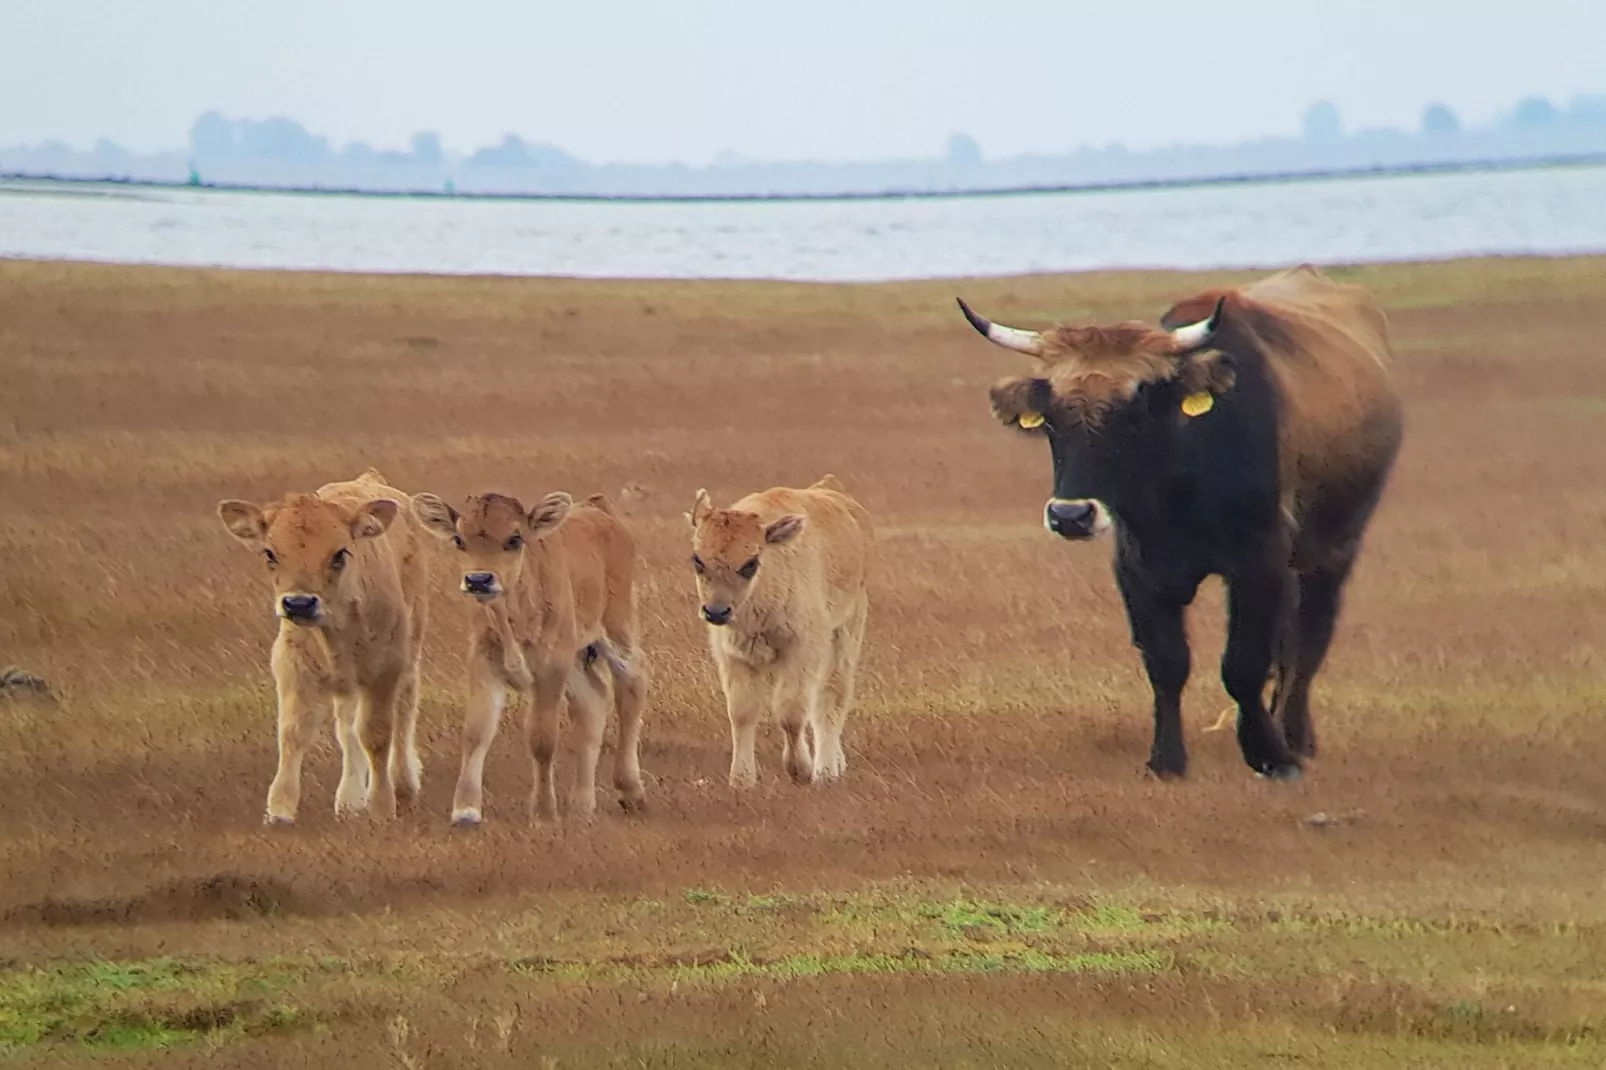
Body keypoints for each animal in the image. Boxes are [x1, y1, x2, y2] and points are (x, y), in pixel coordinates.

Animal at [220, 465, 436, 822]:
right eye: (270, 553)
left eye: (339, 554)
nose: (299, 603)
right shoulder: (294, 667)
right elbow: (294, 731)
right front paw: (279, 811)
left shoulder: (384, 671)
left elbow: (376, 734)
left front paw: (382, 807)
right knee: (347, 727)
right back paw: (349, 799)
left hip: (410, 649)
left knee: (404, 712)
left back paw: (404, 784)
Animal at [407, 488, 645, 819]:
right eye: (459, 539)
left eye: (514, 539)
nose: (478, 580)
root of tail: (599, 510)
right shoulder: (484, 662)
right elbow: (476, 732)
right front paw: (465, 810)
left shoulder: (551, 667)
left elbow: (542, 739)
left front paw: (543, 813)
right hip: (578, 659)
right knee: (592, 702)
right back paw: (582, 804)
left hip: (618, 631)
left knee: (630, 691)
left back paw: (631, 790)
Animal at [684, 472, 873, 784]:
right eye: (697, 560)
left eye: (750, 563)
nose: (716, 611)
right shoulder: (732, 654)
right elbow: (742, 712)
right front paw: (742, 779)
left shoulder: (801, 649)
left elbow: (790, 712)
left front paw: (800, 770)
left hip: (846, 632)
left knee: (831, 696)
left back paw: (826, 770)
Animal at [957, 265, 1400, 784]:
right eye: (1050, 419)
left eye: (1133, 411)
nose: (1070, 515)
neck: (1184, 475)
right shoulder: (1138, 570)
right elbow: (1167, 663)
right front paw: (1166, 760)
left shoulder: (1259, 565)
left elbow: (1244, 665)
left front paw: (1269, 755)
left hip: (1333, 551)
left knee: (1308, 640)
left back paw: (1296, 736)